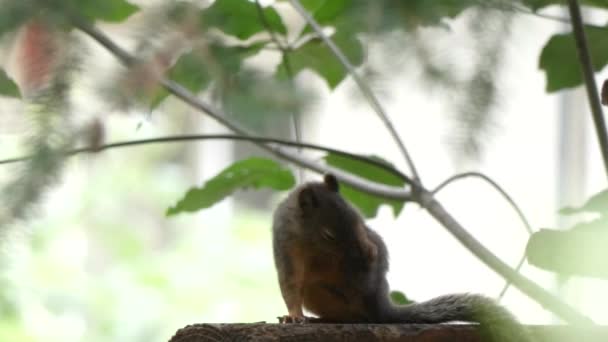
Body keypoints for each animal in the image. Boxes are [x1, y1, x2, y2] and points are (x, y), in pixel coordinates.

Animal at [270, 175, 532, 340]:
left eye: (357, 219)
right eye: (328, 235)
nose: (359, 253)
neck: (313, 246)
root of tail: (381, 304)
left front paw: (370, 250)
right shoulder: (287, 249)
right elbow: (290, 285)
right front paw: (294, 316)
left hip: (360, 291)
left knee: (359, 315)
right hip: (319, 294)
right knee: (351, 315)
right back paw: (318, 320)